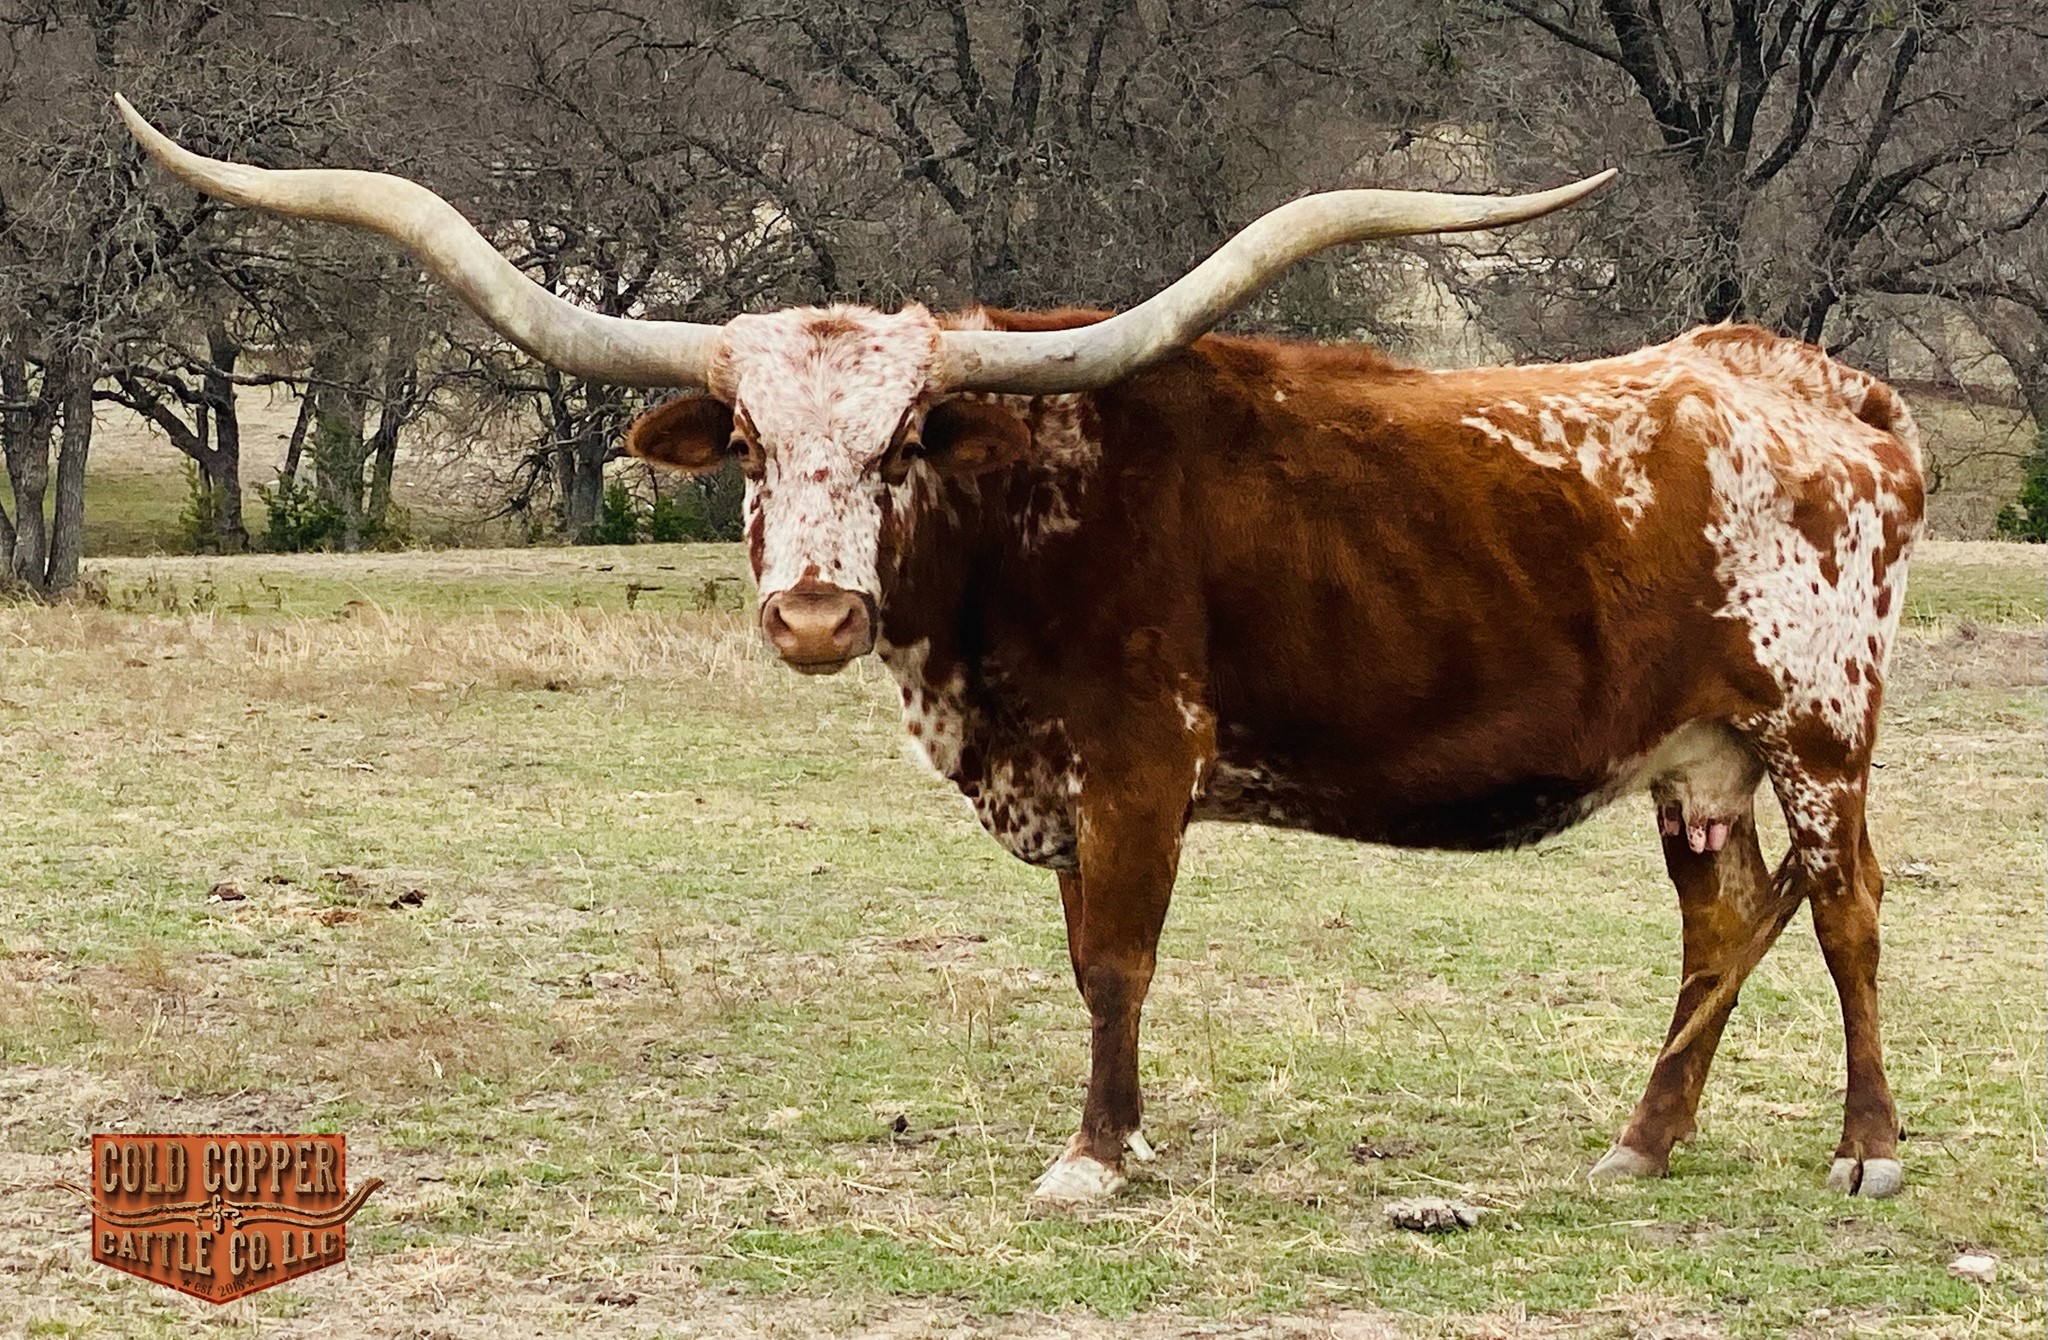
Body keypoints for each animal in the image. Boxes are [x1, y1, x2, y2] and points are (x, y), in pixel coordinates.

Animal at [120, 96, 1923, 1204]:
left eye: (908, 435)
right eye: (754, 447)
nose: (815, 614)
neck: (1015, 521)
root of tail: (1806, 383)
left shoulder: (1135, 770)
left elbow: (1115, 962)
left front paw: (1092, 1158)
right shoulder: (1059, 785)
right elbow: (1080, 960)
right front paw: (1120, 1144)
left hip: (1820, 730)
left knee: (1841, 915)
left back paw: (1866, 1149)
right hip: (1695, 760)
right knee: (1720, 924)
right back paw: (1643, 1142)